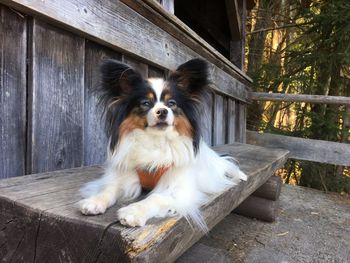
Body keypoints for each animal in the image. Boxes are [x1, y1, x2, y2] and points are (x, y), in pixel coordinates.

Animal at [79, 58, 246, 230]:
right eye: (146, 103)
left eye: (171, 103)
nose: (163, 111)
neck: (155, 140)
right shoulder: (125, 177)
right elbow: (109, 189)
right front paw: (95, 201)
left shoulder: (181, 191)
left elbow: (155, 197)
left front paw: (134, 211)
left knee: (227, 166)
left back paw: (241, 175)